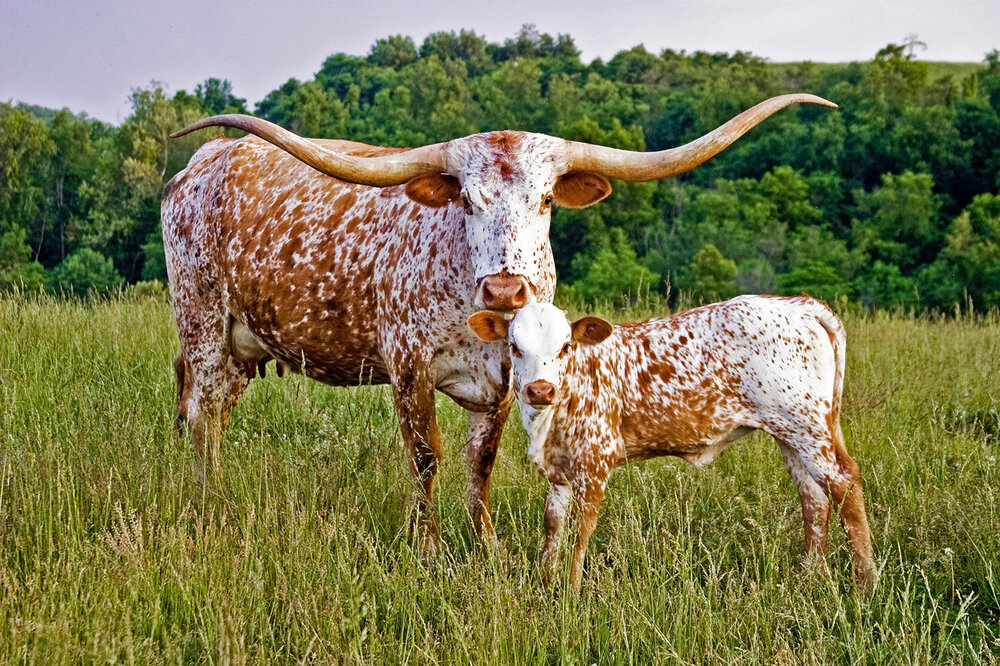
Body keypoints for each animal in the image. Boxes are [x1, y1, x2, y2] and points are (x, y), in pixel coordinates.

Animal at [163, 94, 836, 553]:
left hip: (242, 347)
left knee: (213, 415)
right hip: (202, 323)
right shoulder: (408, 367)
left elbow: (480, 460)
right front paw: (427, 545)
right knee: (199, 414)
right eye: (467, 198)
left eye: (546, 198)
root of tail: (201, 162)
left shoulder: (508, 380)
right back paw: (208, 504)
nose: (507, 288)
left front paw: (484, 545)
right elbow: (426, 456)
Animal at [467, 296, 875, 590]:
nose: (540, 389)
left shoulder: (596, 460)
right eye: (514, 346)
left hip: (805, 425)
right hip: (790, 431)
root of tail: (796, 305)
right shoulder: (560, 468)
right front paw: (546, 581)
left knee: (844, 485)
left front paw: (570, 590)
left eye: (566, 346)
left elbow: (582, 528)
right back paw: (810, 577)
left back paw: (865, 584)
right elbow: (553, 524)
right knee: (814, 498)